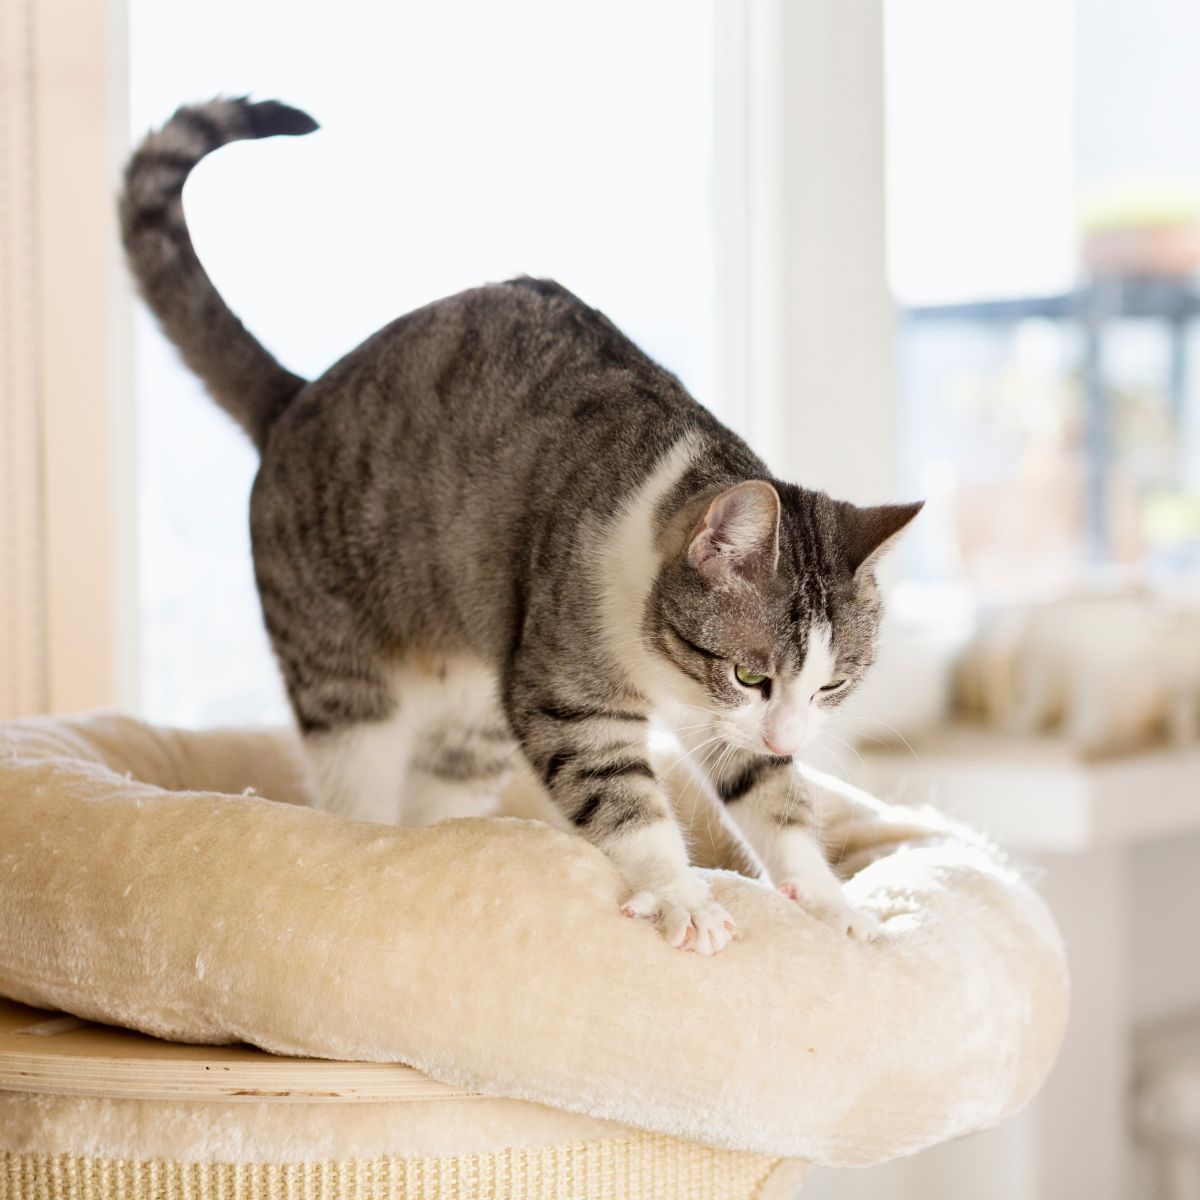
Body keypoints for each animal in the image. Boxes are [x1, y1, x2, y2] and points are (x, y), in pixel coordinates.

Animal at [119, 96, 916, 955]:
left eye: (833, 684)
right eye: (749, 674)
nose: (789, 736)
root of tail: (294, 398)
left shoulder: (719, 724)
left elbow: (772, 795)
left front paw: (832, 903)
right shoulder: (563, 683)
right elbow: (620, 795)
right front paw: (679, 894)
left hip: (471, 715)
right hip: (341, 674)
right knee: (355, 780)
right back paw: (370, 843)